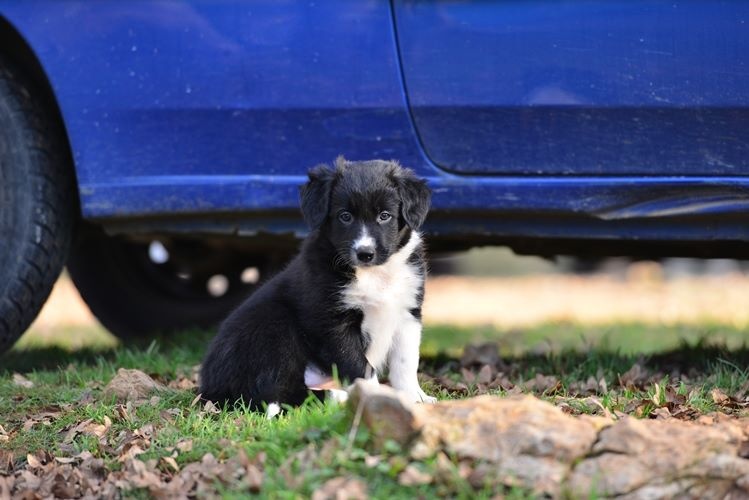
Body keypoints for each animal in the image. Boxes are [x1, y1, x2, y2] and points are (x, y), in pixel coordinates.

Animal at [199, 157, 436, 410]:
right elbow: (362, 367)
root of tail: (208, 389)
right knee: (274, 394)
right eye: (345, 216)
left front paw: (416, 398)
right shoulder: (333, 323)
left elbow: (406, 363)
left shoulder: (407, 313)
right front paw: (373, 399)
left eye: (384, 215)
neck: (373, 274)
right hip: (275, 327)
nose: (365, 253)